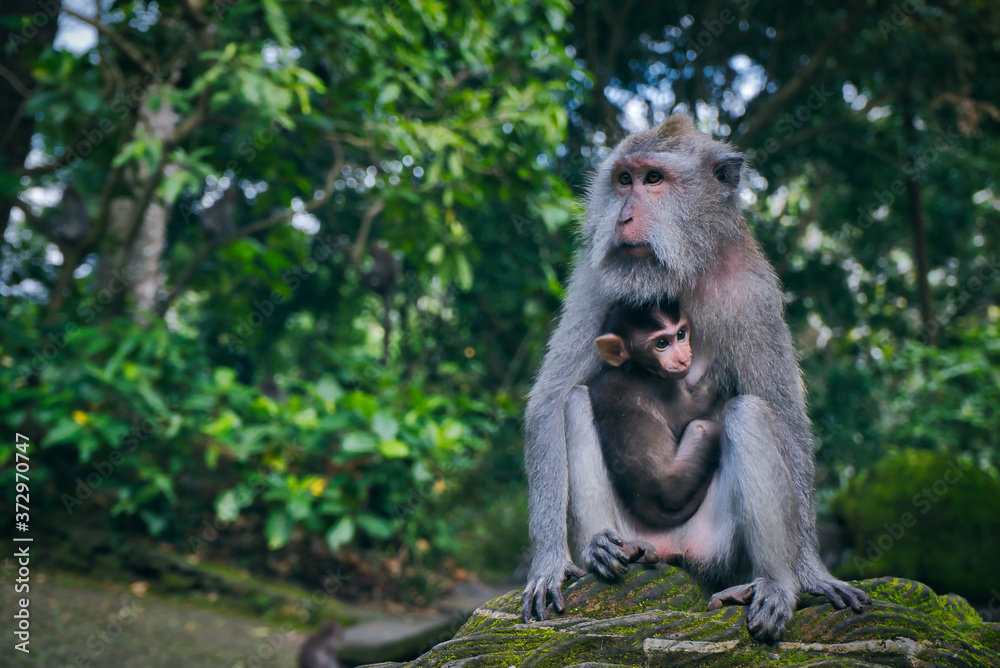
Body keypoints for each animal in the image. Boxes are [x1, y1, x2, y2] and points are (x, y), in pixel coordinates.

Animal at [584, 300, 720, 528]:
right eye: (662, 343)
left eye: (681, 334)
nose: (683, 360)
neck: (637, 367)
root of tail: (644, 498)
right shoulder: (664, 388)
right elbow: (692, 412)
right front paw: (724, 367)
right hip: (679, 480)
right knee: (702, 427)